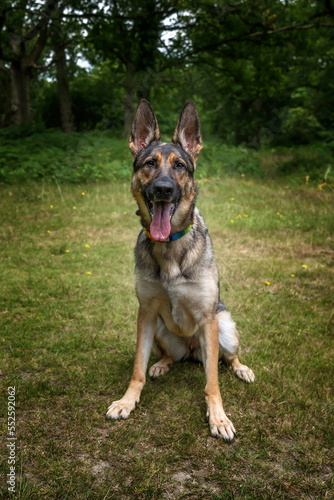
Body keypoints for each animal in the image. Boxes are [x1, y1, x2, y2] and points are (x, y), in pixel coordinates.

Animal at [105, 99, 254, 440]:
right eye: (149, 163)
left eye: (179, 166)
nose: (163, 189)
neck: (170, 246)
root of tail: (191, 349)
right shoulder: (146, 313)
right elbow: (137, 368)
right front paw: (127, 401)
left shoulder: (209, 319)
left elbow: (212, 382)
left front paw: (218, 417)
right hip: (161, 328)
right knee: (169, 354)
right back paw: (162, 363)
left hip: (225, 327)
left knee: (226, 358)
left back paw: (241, 368)